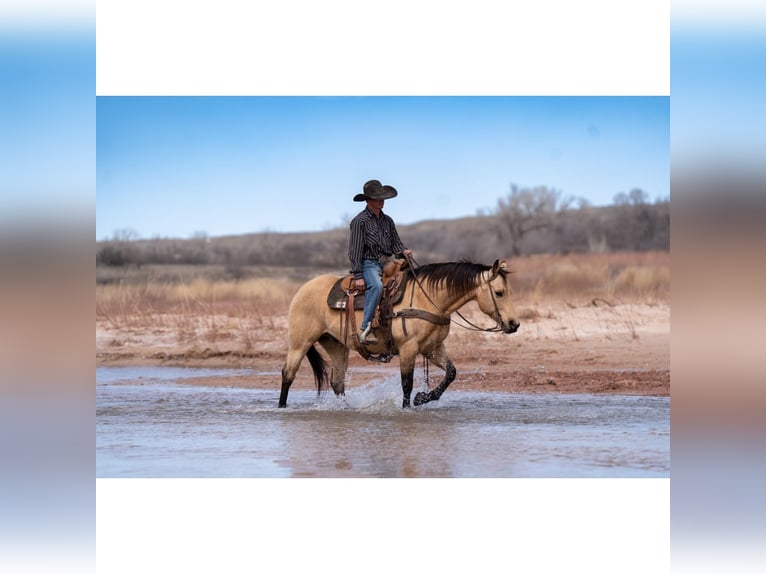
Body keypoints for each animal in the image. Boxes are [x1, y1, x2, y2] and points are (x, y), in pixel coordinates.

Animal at [278, 260, 520, 410]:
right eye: (499, 293)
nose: (514, 324)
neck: (428, 299)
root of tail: (303, 289)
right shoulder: (408, 348)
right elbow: (407, 384)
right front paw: (408, 408)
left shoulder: (432, 349)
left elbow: (451, 372)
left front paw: (423, 398)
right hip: (300, 343)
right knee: (288, 375)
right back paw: (281, 407)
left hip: (336, 345)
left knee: (337, 382)